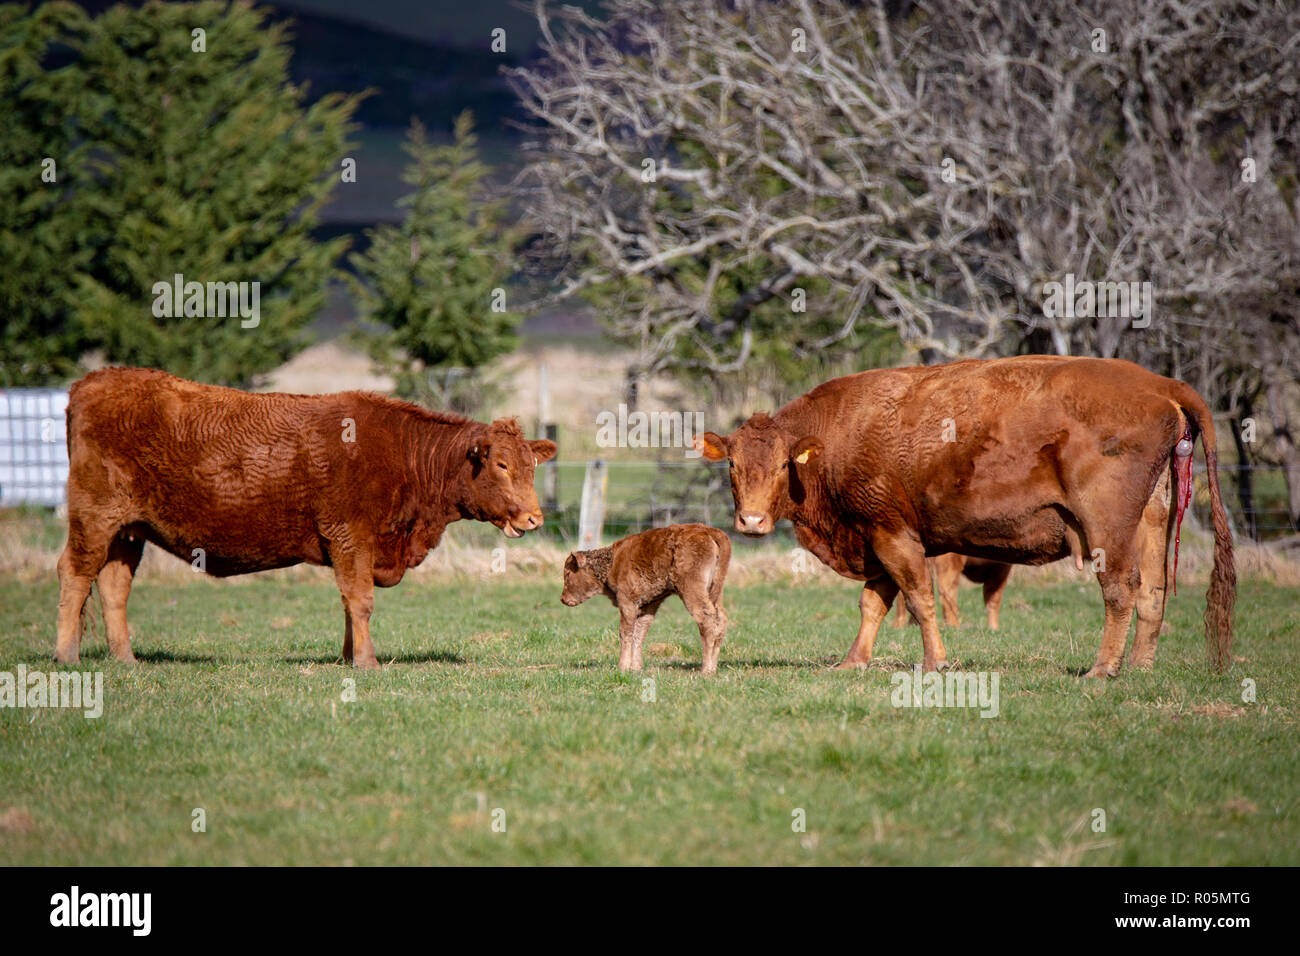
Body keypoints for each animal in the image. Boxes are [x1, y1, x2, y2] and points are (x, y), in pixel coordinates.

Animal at [55, 367, 557, 668]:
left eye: (532, 465)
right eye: (502, 465)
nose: (534, 518)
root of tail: (95, 380)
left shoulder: (352, 547)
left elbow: (348, 602)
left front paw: (349, 657)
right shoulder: (350, 536)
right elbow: (360, 600)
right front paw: (367, 663)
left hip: (128, 531)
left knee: (114, 586)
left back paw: (125, 659)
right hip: (94, 517)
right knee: (76, 573)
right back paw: (66, 655)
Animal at [560, 524, 731, 675]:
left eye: (568, 574)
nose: (563, 599)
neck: (613, 562)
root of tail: (710, 531)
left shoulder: (627, 602)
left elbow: (625, 633)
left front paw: (622, 667)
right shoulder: (648, 605)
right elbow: (639, 633)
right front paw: (635, 668)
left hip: (692, 590)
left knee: (706, 619)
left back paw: (705, 670)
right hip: (715, 591)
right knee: (721, 619)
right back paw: (713, 668)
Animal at [694, 356, 1235, 678]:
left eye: (783, 466)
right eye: (733, 465)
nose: (751, 522)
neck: (839, 433)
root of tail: (1159, 383)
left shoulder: (893, 535)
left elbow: (918, 599)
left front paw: (935, 662)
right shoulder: (875, 538)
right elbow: (874, 603)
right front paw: (852, 663)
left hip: (1108, 527)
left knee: (1121, 589)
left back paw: (1102, 671)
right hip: (1153, 518)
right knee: (1153, 592)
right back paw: (1140, 667)